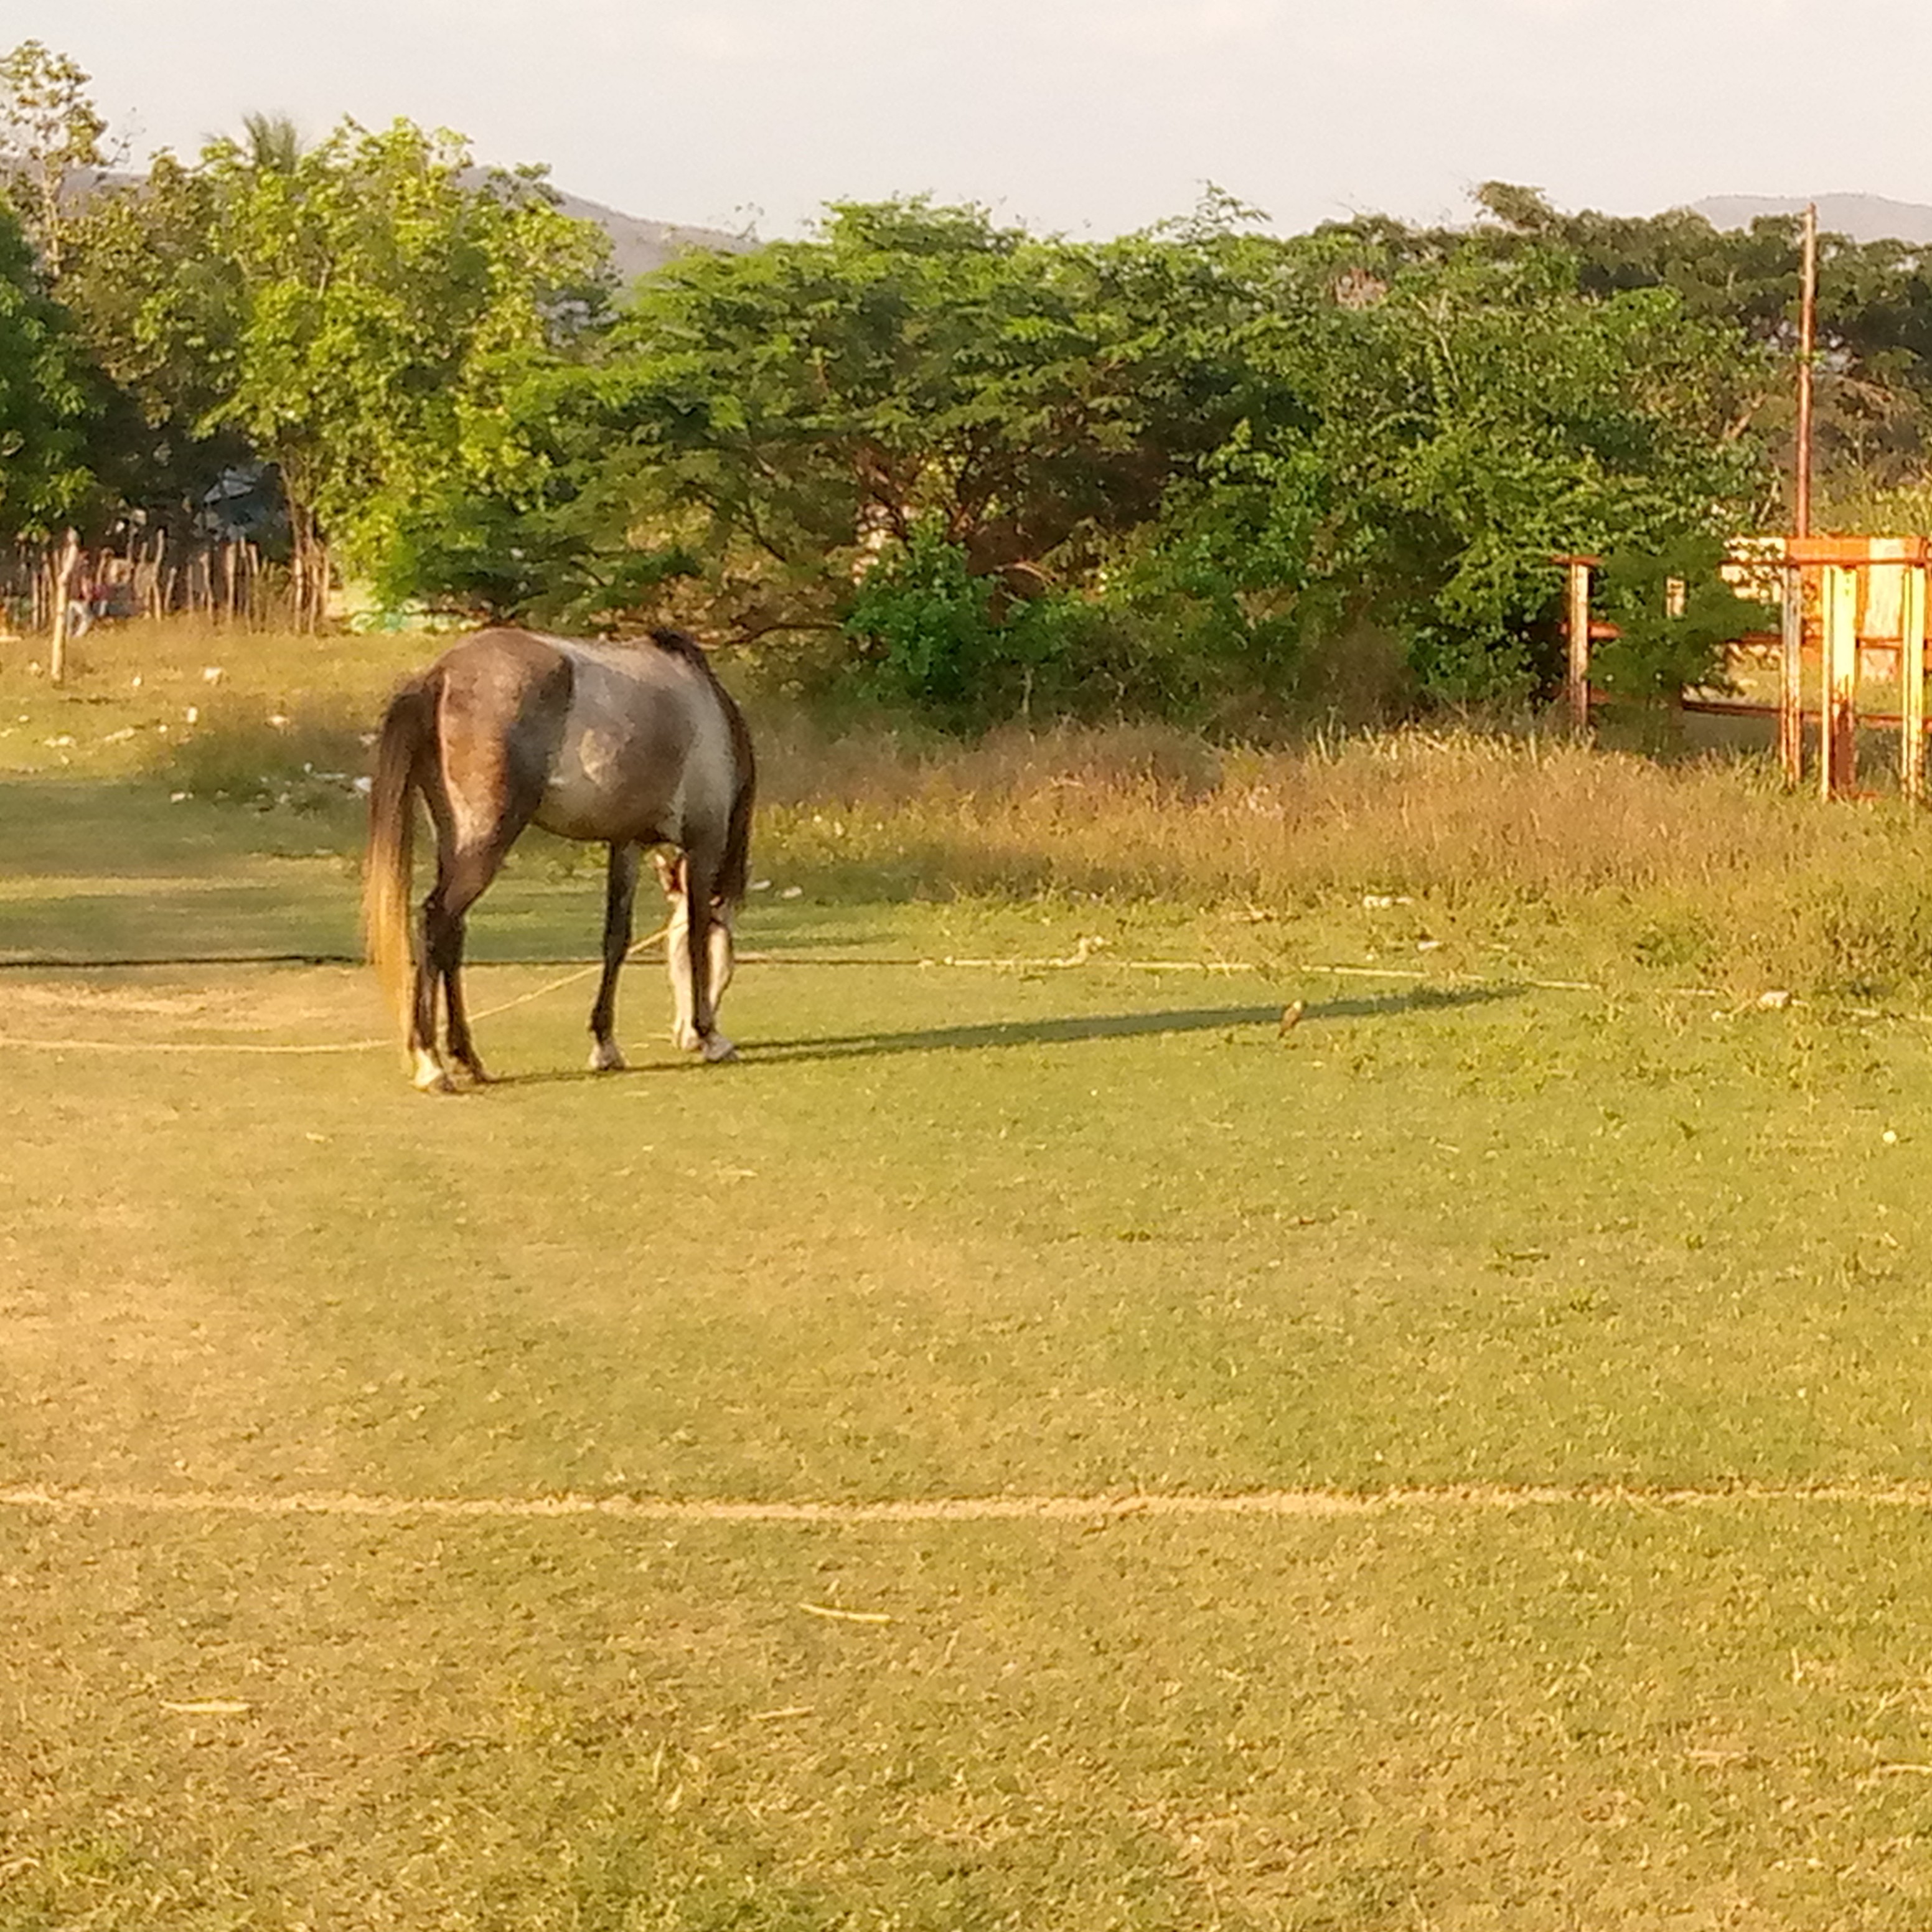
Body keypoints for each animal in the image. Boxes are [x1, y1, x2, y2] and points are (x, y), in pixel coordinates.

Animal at [363, 629, 753, 1097]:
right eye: (671, 962)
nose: (686, 1036)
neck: (708, 710)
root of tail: (439, 676)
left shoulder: (627, 843)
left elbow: (616, 940)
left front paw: (605, 1045)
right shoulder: (704, 844)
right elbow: (696, 935)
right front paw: (711, 1036)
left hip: (455, 843)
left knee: (451, 935)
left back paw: (466, 1058)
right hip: (485, 843)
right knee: (435, 921)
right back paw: (431, 1063)